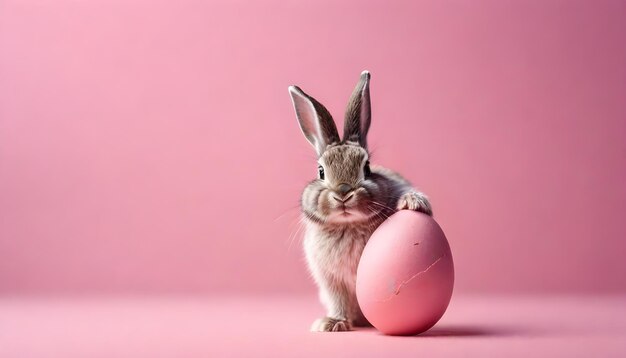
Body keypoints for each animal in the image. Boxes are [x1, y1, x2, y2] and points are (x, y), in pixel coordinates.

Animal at [288, 70, 428, 332]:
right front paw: (331, 324)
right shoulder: (331, 281)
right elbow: (339, 301)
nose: (343, 193)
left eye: (367, 167)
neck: (348, 225)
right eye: (320, 171)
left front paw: (413, 202)